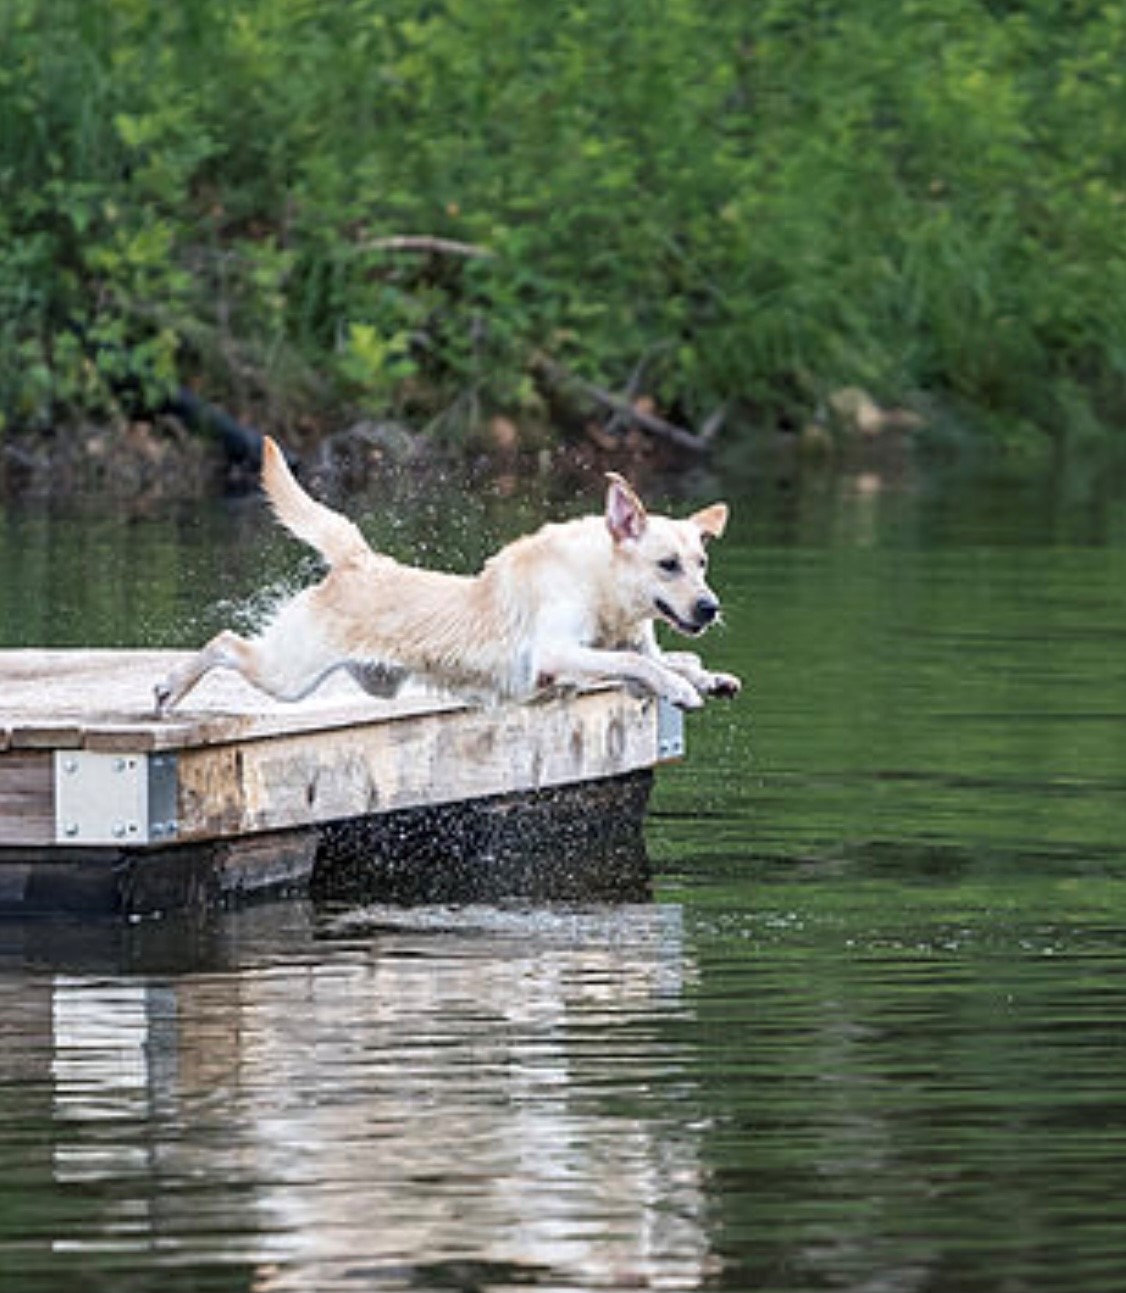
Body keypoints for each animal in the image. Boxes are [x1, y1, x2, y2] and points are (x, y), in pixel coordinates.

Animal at [156, 437, 739, 718]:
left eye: (702, 564)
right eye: (668, 564)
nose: (710, 607)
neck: (602, 587)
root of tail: (361, 560)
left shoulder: (633, 646)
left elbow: (665, 660)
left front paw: (708, 678)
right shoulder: (555, 653)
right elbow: (636, 663)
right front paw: (681, 689)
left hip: (369, 679)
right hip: (287, 673)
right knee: (225, 642)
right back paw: (168, 687)